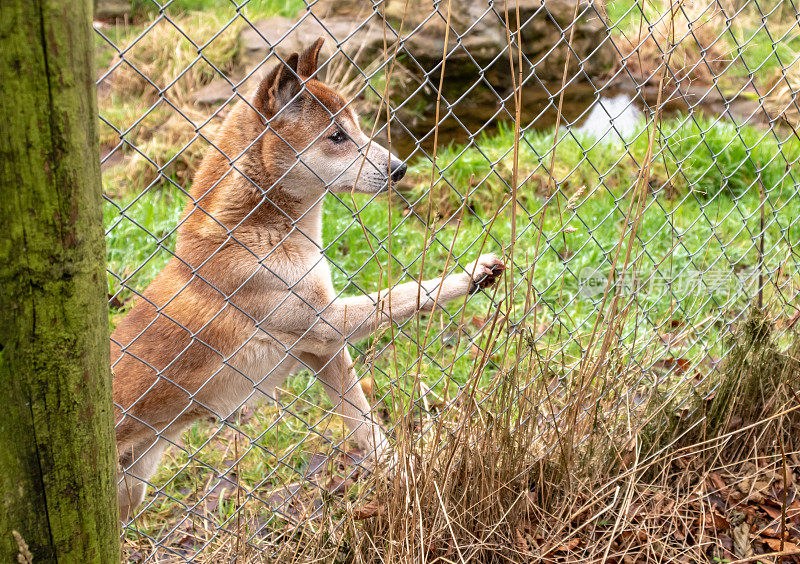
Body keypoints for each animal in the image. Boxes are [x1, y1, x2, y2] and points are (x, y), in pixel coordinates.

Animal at [111, 36, 506, 520]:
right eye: (337, 137)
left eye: (359, 128)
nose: (399, 169)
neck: (258, 232)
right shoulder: (325, 321)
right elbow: (408, 293)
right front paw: (471, 274)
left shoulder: (324, 349)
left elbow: (366, 426)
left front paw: (401, 473)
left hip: (131, 487)